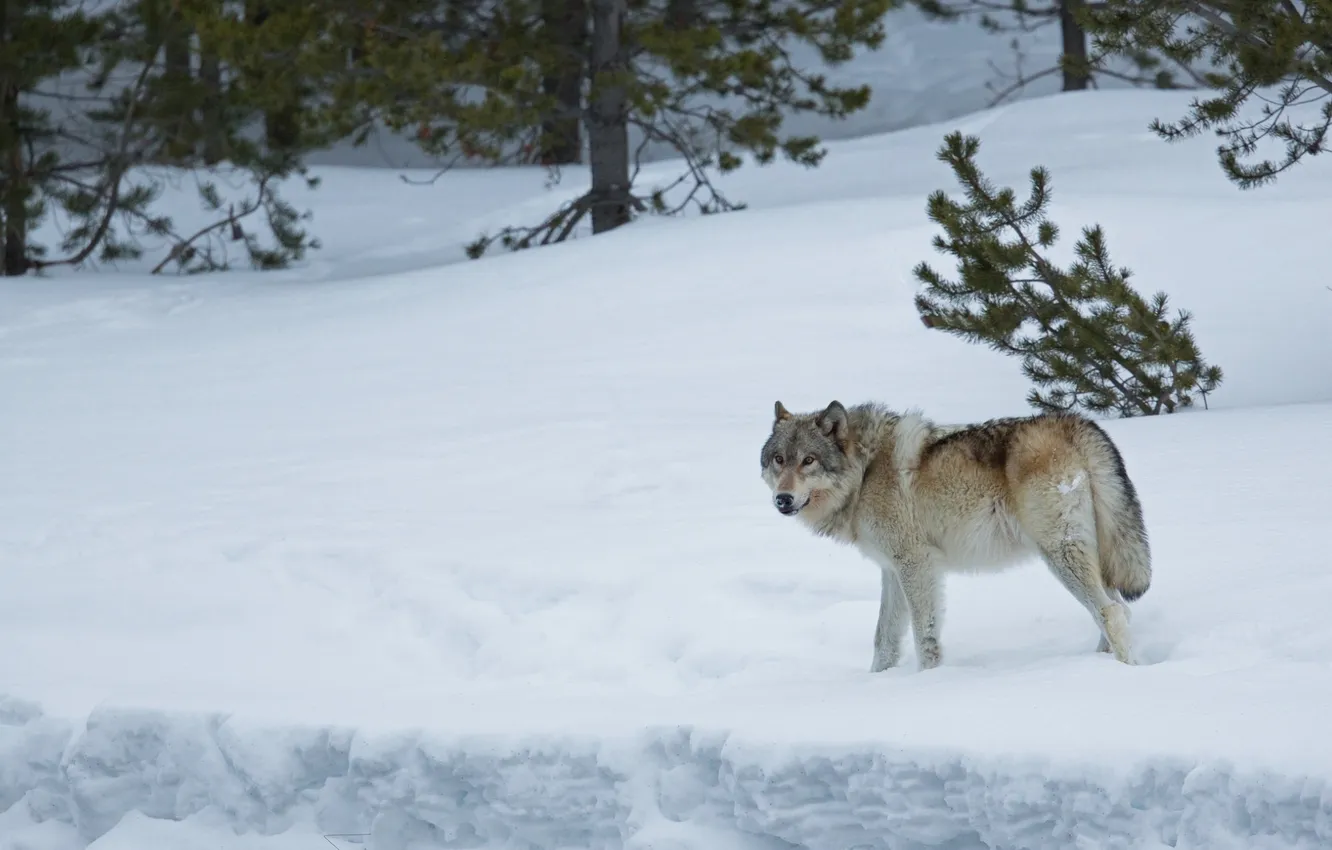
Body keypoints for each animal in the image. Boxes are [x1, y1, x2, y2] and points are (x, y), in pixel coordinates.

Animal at [767, 399, 1150, 671]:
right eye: (779, 459)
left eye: (809, 460)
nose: (782, 499)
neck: (865, 471)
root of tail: (1075, 422)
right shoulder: (892, 570)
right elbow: (884, 639)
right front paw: (878, 681)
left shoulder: (916, 565)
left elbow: (924, 636)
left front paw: (928, 681)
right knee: (1119, 610)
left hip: (1059, 553)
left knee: (1112, 613)